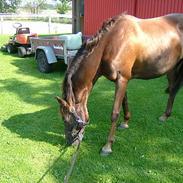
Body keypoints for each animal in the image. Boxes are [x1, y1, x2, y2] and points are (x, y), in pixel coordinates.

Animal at [55, 12, 183, 155]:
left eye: (67, 119)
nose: (70, 143)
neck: (111, 43)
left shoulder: (122, 79)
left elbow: (115, 113)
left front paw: (107, 146)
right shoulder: (123, 80)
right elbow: (124, 102)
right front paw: (125, 122)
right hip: (172, 68)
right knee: (173, 90)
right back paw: (165, 116)